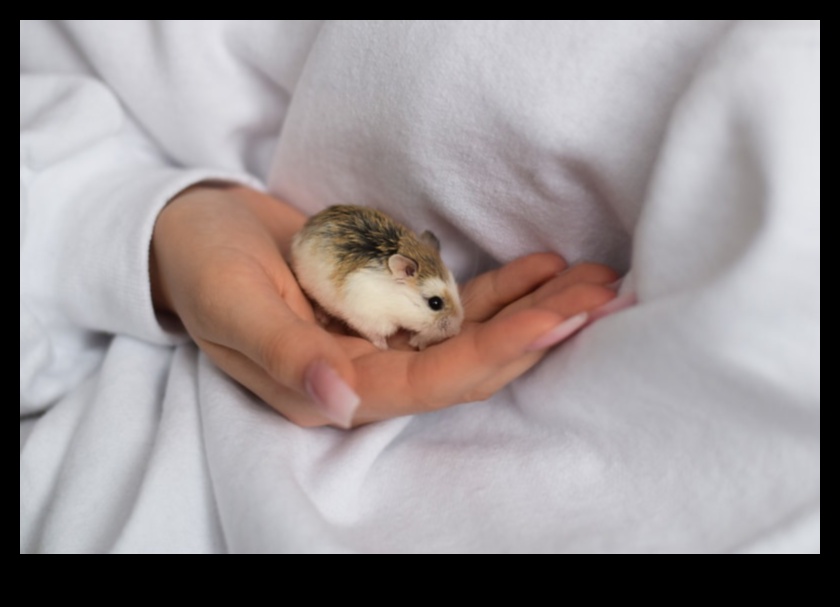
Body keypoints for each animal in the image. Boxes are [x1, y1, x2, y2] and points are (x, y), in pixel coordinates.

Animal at [290, 205, 464, 350]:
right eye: (435, 303)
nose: (456, 330)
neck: (396, 300)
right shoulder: (370, 319)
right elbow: (374, 335)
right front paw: (384, 347)